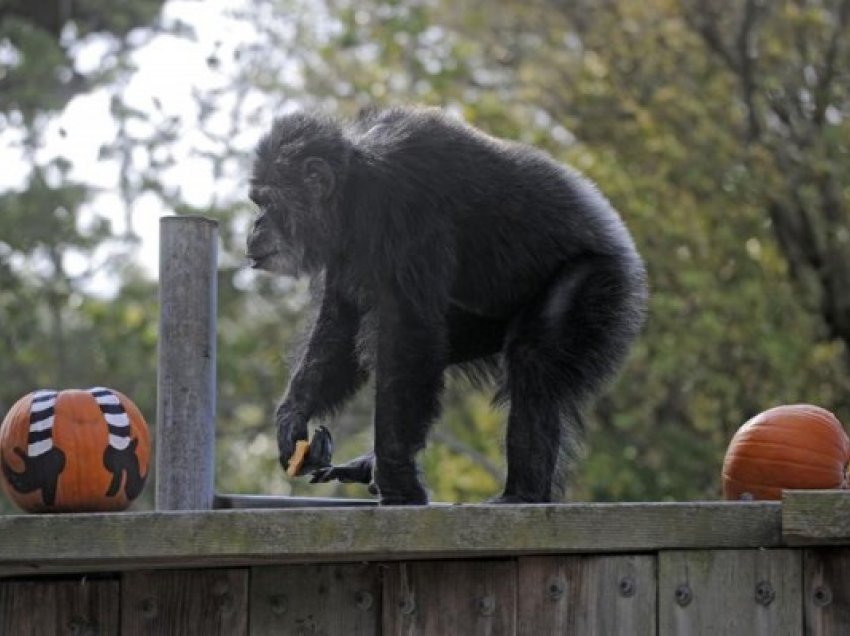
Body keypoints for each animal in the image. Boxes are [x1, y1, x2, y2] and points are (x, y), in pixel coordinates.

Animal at [248, 107, 644, 504]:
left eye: (267, 202)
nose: (254, 225)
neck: (353, 190)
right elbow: (341, 323)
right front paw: (292, 419)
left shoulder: (404, 202)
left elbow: (407, 329)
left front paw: (399, 482)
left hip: (602, 282)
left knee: (533, 358)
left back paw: (522, 494)